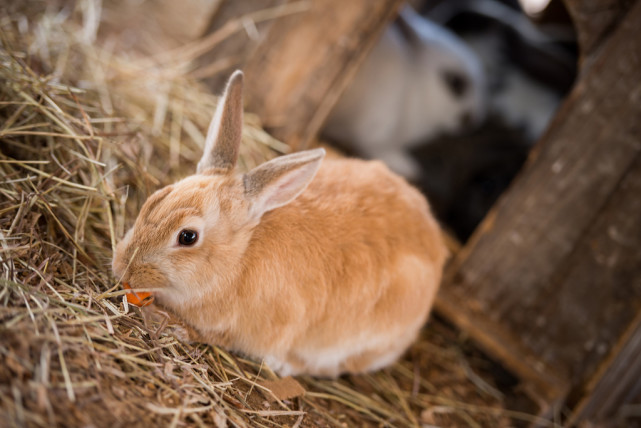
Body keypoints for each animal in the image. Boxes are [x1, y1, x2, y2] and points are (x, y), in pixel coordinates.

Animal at [111, 71, 444, 378]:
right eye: (155, 199)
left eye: (188, 237)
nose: (122, 267)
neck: (237, 261)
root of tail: (434, 240)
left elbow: (215, 336)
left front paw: (174, 326)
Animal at [322, 4, 482, 181]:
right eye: (455, 82)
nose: (472, 121)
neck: (415, 87)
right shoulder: (379, 131)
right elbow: (381, 150)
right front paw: (409, 168)